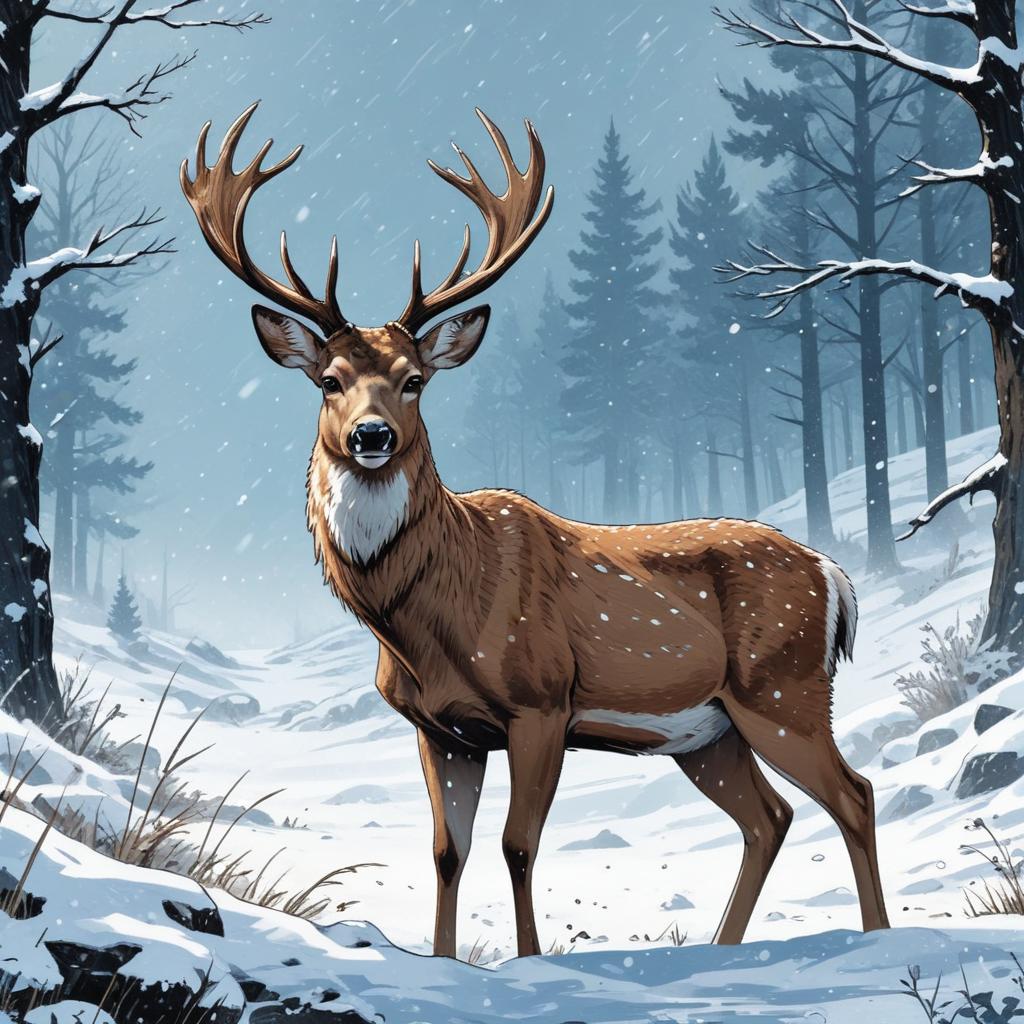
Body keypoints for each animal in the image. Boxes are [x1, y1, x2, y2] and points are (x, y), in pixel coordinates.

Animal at [181, 103, 890, 959]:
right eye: (329, 381)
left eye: (414, 381)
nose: (372, 436)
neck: (425, 619)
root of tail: (833, 574)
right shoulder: (442, 728)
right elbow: (446, 851)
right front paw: (444, 959)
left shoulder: (542, 700)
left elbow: (519, 845)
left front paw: (527, 961)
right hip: (708, 731)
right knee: (770, 818)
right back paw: (727, 946)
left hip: (782, 687)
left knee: (854, 793)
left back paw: (880, 937)